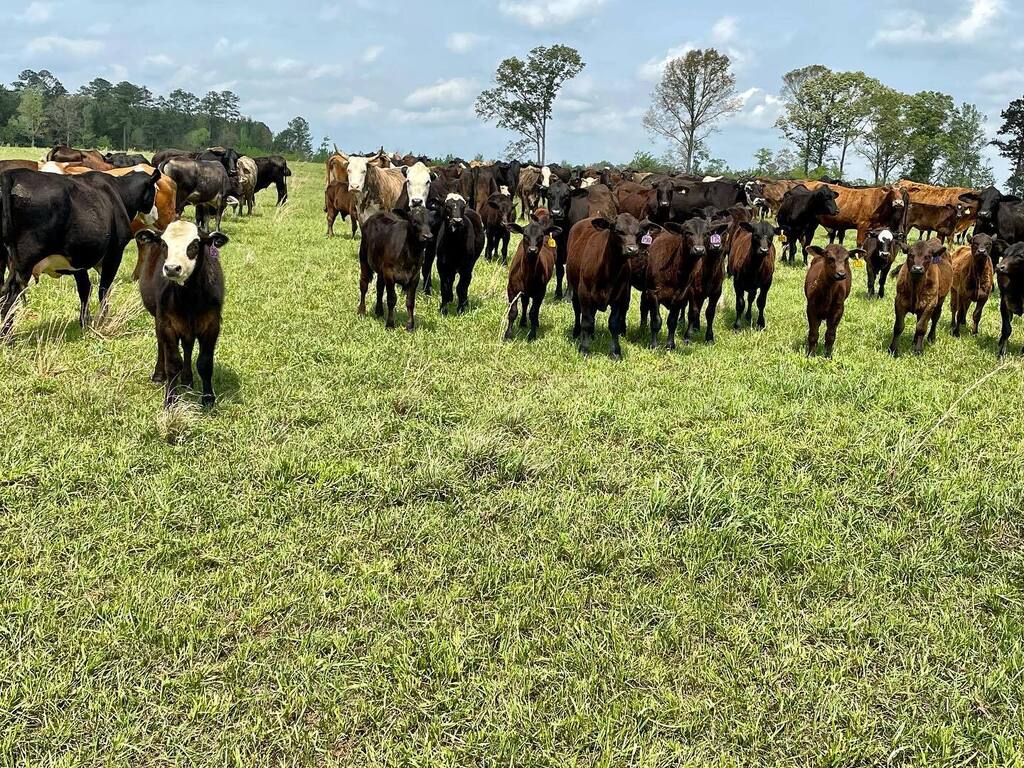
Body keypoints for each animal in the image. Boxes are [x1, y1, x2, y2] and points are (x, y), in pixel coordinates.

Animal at [0, 167, 159, 333]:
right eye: (156, 190)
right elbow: (104, 288)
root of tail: (11, 173)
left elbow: (85, 288)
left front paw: (85, 322)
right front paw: (102, 321)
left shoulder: (79, 259)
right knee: (10, 295)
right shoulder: (114, 253)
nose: (156, 214)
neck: (119, 193)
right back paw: (7, 334)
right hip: (25, 262)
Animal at [135, 222, 228, 407]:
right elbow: (172, 363)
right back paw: (159, 374)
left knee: (187, 346)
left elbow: (205, 363)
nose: (172, 268)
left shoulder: (212, 325)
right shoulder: (167, 324)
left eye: (195, 244)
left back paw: (187, 379)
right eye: (164, 244)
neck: (189, 298)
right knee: (161, 344)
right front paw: (170, 398)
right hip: (159, 319)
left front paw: (208, 397)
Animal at [505, 211, 561, 341]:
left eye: (540, 236)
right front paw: (508, 334)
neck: (527, 275)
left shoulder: (540, 292)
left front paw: (532, 334)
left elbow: (534, 312)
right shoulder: (511, 289)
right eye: (525, 235)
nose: (532, 250)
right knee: (525, 303)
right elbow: (513, 312)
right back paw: (523, 322)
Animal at [567, 214, 656, 360]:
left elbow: (614, 324)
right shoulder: (584, 293)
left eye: (639, 233)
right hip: (574, 287)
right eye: (617, 230)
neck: (609, 271)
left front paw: (615, 352)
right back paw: (577, 332)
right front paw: (584, 349)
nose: (632, 250)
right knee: (577, 309)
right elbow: (586, 321)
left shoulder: (619, 297)